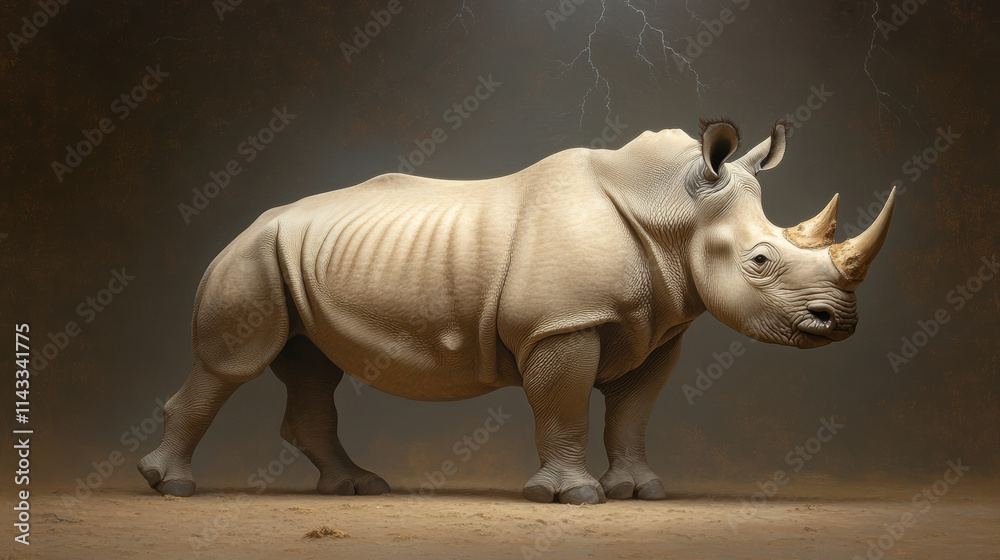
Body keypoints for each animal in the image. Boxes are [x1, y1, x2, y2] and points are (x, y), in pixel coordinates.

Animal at [138, 118, 895, 504]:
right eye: (760, 261)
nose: (840, 323)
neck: (675, 214)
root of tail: (251, 222)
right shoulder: (562, 323)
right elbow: (563, 406)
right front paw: (573, 497)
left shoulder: (659, 326)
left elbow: (632, 412)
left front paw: (641, 491)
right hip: (253, 255)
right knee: (233, 364)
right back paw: (172, 487)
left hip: (291, 256)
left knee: (311, 366)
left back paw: (356, 488)